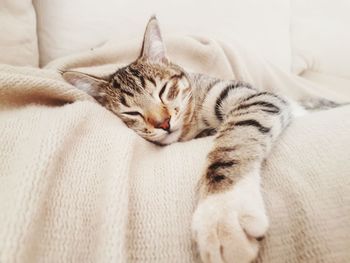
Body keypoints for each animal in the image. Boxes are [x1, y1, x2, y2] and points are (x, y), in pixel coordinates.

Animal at [61, 16, 322, 263]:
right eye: (131, 113)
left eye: (163, 90)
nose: (163, 122)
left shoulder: (256, 97)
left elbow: (232, 144)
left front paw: (222, 213)